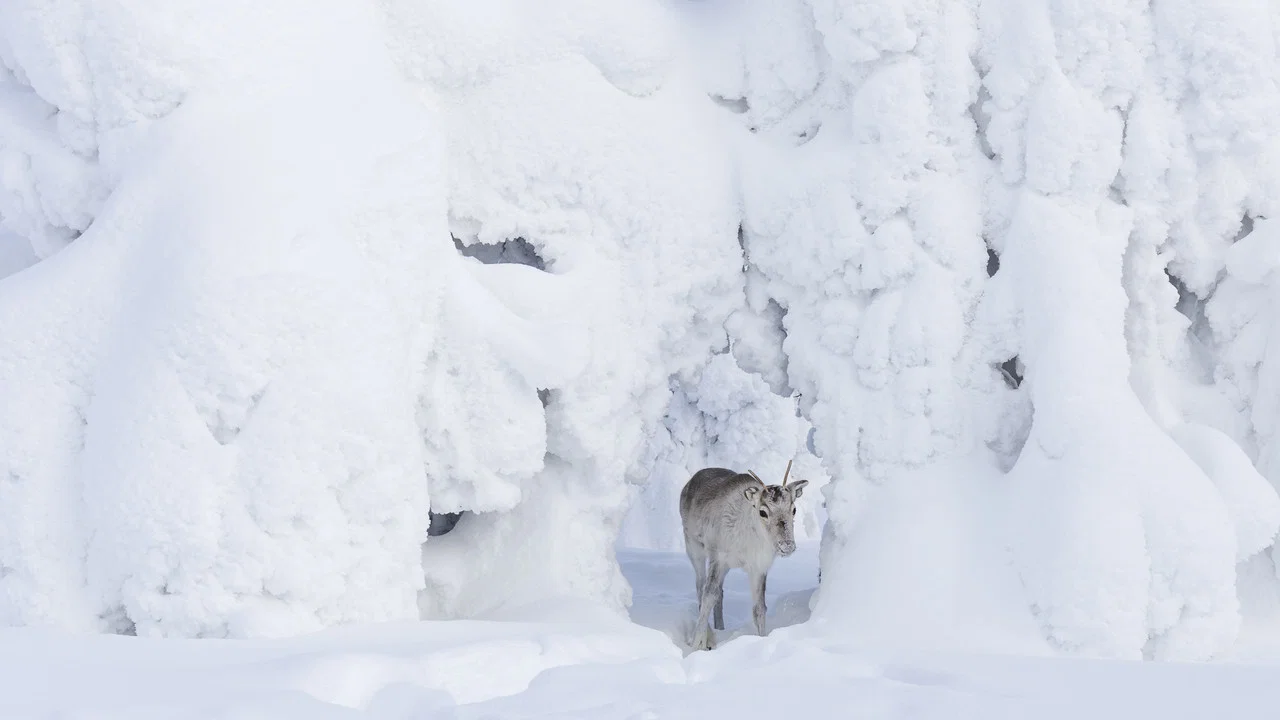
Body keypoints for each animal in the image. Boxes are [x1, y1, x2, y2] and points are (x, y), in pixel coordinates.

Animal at [679, 459, 808, 651]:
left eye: (794, 509)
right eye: (763, 512)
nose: (787, 546)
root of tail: (689, 483)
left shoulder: (758, 567)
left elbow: (759, 608)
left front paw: (762, 638)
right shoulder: (718, 557)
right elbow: (708, 596)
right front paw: (697, 644)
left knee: (719, 592)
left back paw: (720, 627)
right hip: (695, 548)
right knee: (700, 587)